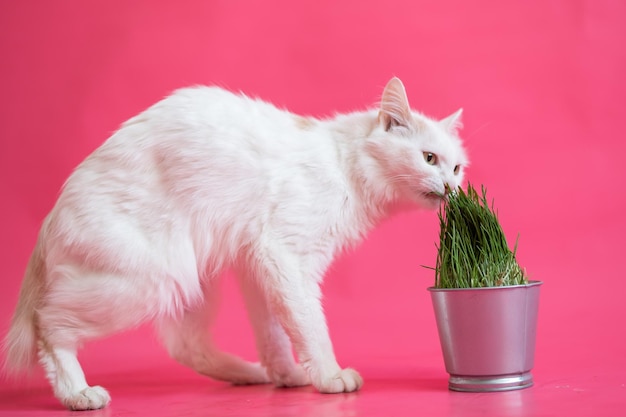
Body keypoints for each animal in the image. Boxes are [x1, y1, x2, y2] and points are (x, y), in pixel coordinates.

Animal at [3, 78, 464, 410]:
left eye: (457, 167)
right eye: (428, 159)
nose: (451, 188)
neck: (344, 164)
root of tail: (51, 217)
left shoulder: (257, 265)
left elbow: (276, 333)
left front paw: (289, 375)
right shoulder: (284, 256)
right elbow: (310, 325)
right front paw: (329, 376)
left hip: (190, 282)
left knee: (186, 347)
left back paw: (249, 373)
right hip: (149, 281)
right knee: (49, 326)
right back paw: (78, 394)